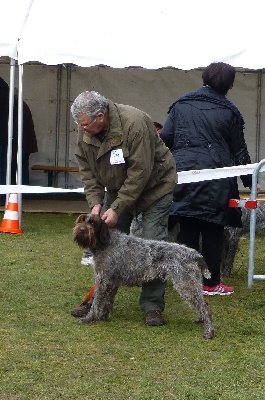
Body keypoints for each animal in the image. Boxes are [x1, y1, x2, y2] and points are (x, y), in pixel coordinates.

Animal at [72, 214, 214, 340]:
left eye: (92, 223)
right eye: (81, 220)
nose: (81, 229)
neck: (105, 243)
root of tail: (195, 254)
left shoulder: (103, 281)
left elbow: (96, 303)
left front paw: (89, 318)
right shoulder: (111, 282)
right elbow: (106, 301)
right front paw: (103, 316)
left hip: (185, 285)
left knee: (205, 308)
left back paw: (209, 332)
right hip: (192, 284)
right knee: (205, 305)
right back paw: (201, 320)